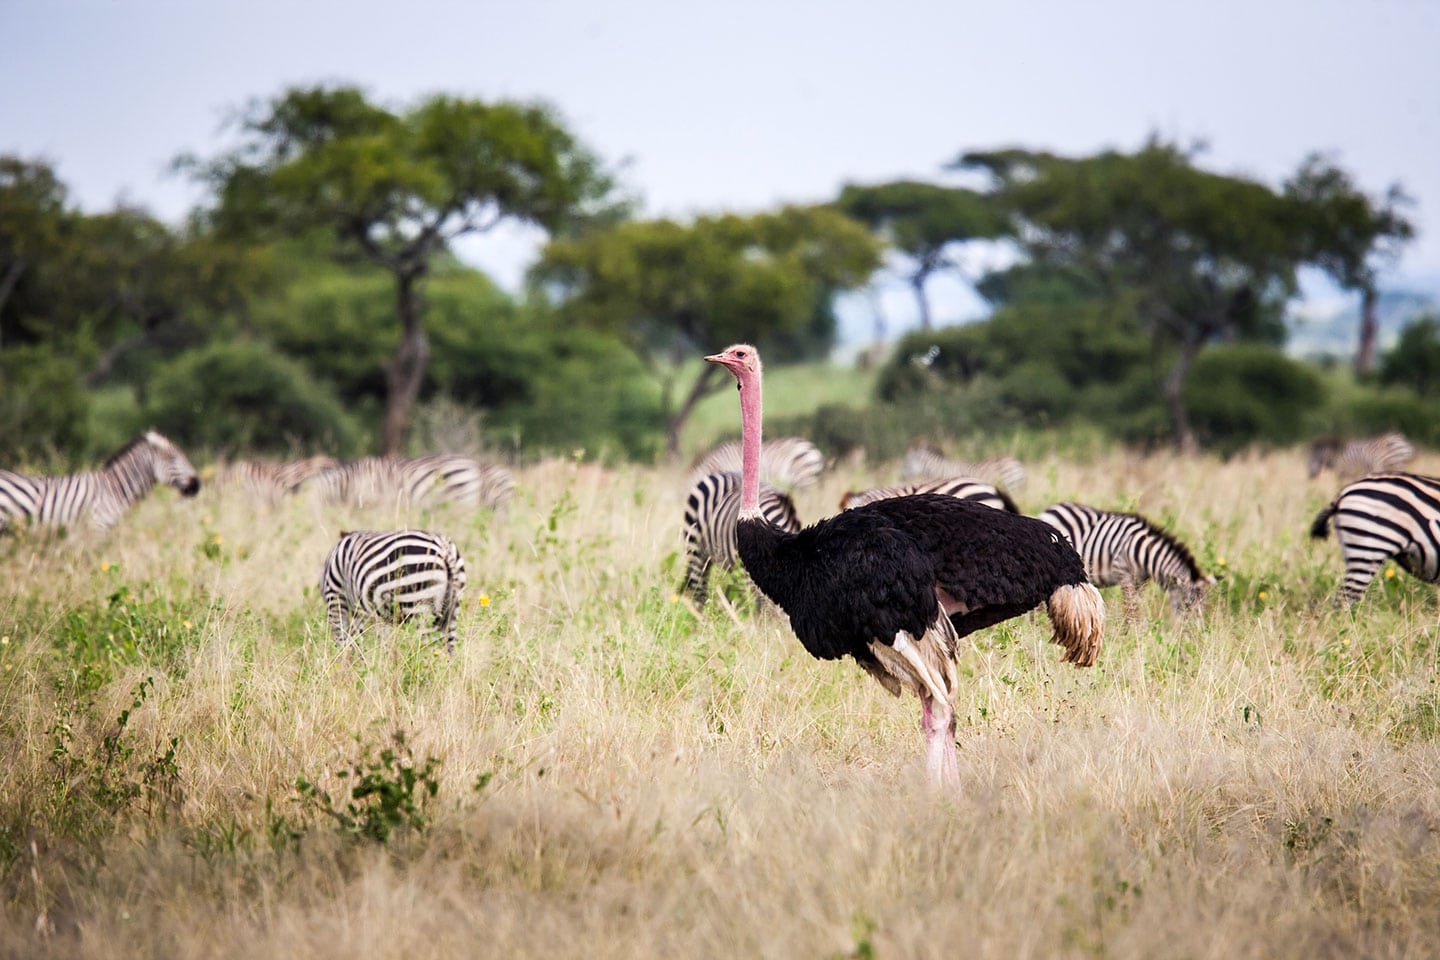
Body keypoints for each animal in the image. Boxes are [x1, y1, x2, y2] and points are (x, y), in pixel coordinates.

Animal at [320, 529, 467, 651]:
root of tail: (444, 549)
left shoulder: (337, 599)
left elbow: (351, 639)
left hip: (418, 606)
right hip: (452, 608)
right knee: (448, 650)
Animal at [1037, 501, 1214, 622]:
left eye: (1204, 607)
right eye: (1188, 605)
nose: (1198, 634)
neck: (1142, 553)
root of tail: (1050, 510)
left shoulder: (1140, 582)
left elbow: (1136, 606)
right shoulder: (1124, 575)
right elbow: (1131, 609)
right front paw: (1132, 635)